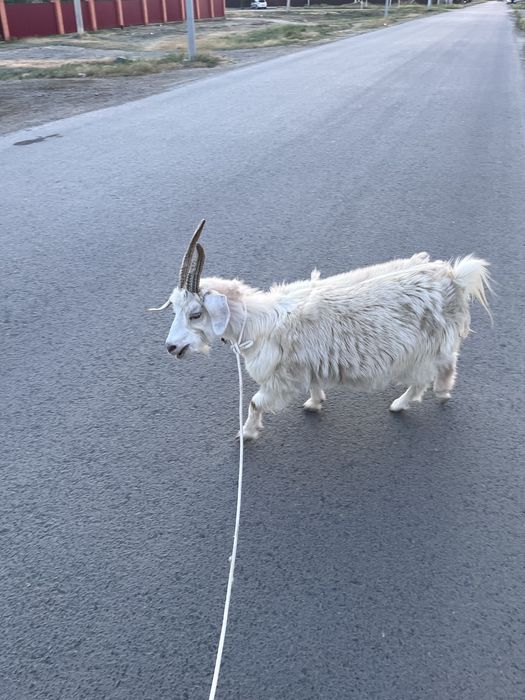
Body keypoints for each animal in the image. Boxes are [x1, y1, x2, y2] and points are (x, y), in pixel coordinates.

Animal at [151, 221, 491, 441]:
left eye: (195, 314)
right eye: (175, 310)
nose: (171, 347)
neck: (258, 321)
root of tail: (454, 276)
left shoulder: (279, 378)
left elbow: (255, 402)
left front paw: (246, 433)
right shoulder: (306, 364)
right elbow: (313, 384)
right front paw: (314, 403)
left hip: (426, 344)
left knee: (437, 370)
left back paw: (421, 398)